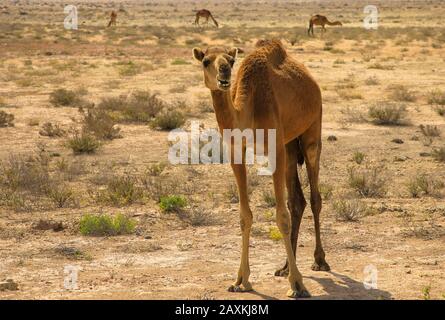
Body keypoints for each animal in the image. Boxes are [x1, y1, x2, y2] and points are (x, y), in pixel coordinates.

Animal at [193, 39, 328, 298]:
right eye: (205, 61)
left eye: (231, 59)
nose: (224, 73)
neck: (249, 111)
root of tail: (312, 81)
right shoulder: (236, 151)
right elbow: (245, 216)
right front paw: (240, 280)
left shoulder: (275, 147)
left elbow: (281, 217)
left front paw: (297, 285)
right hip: (290, 144)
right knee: (297, 200)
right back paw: (285, 267)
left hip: (312, 131)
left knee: (315, 197)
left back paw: (319, 260)